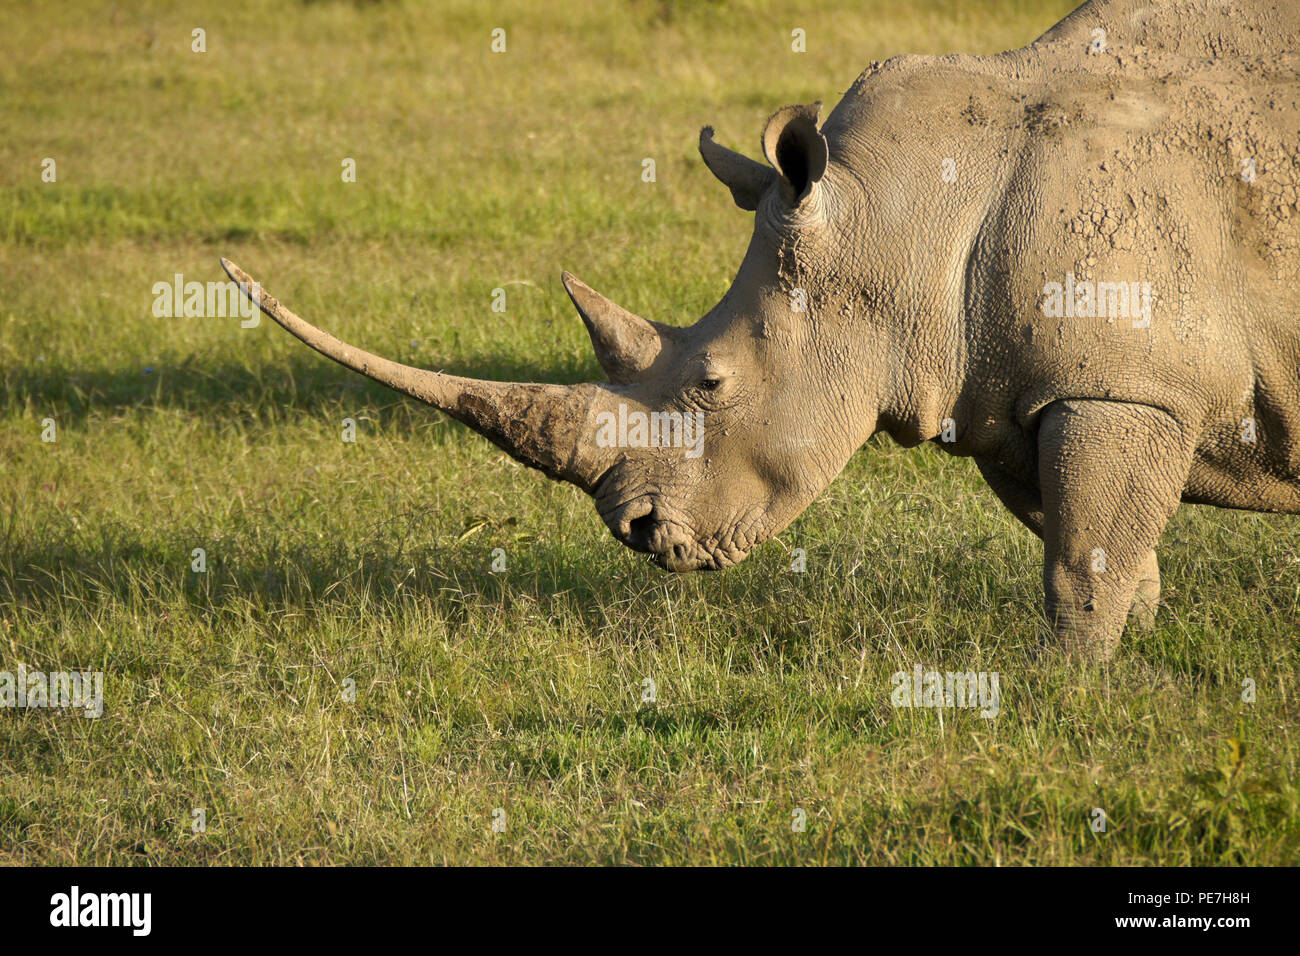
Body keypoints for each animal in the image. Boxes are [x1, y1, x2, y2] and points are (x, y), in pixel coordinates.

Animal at [222, 0, 1300, 660]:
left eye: (711, 383)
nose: (637, 534)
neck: (899, 216)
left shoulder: (1124, 383)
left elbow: (1081, 557)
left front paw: (1057, 689)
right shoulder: (1011, 385)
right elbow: (1086, 540)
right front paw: (1129, 649)